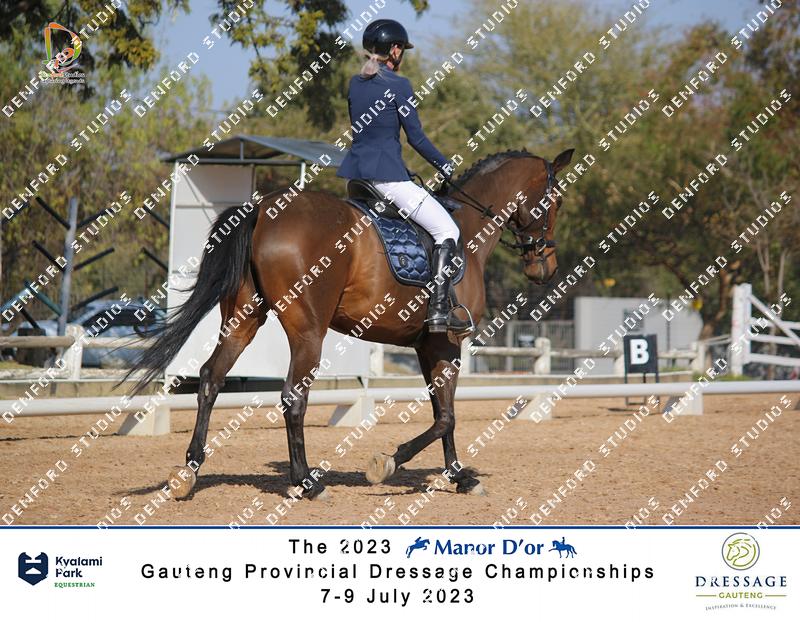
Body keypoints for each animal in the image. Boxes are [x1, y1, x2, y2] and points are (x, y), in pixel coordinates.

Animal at [125, 148, 574, 501]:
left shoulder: (428, 345)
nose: (546, 269)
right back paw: (306, 482)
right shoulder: (447, 343)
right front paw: (389, 462)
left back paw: (189, 471)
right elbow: (446, 415)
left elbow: (442, 411)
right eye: (555, 202)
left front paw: (458, 476)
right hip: (308, 331)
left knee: (210, 378)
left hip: (243, 319)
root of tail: (264, 209)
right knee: (292, 397)